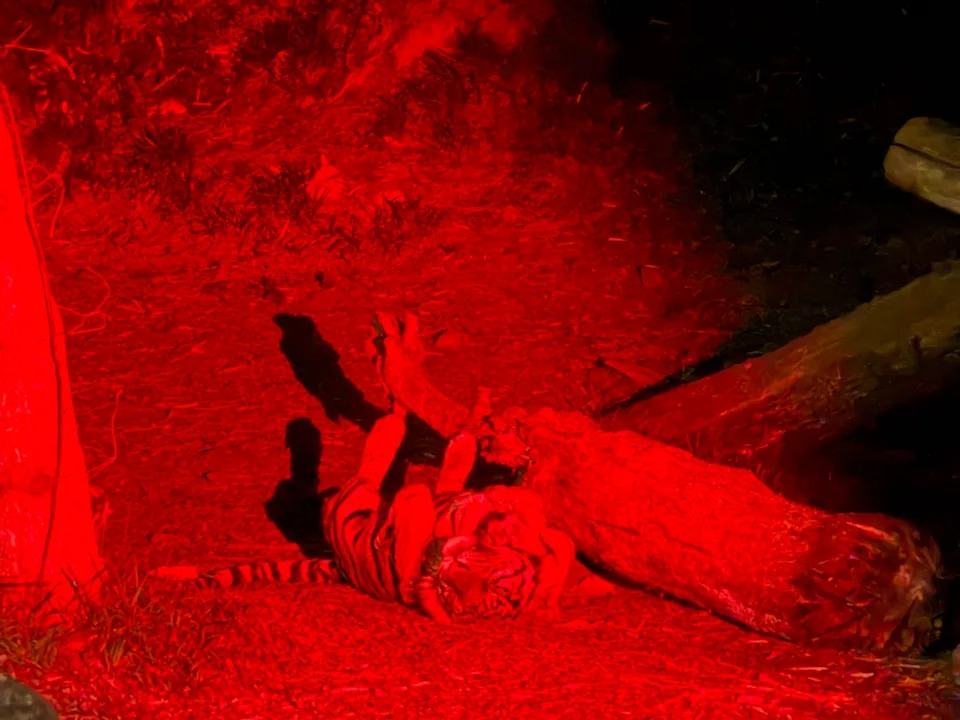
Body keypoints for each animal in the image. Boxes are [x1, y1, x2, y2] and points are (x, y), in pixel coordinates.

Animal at [152, 410, 575, 623]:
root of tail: (338, 567)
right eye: (488, 580)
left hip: (349, 505)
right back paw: (459, 444)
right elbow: (544, 529)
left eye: (460, 599)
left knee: (370, 471)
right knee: (441, 479)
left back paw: (391, 427)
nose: (447, 575)